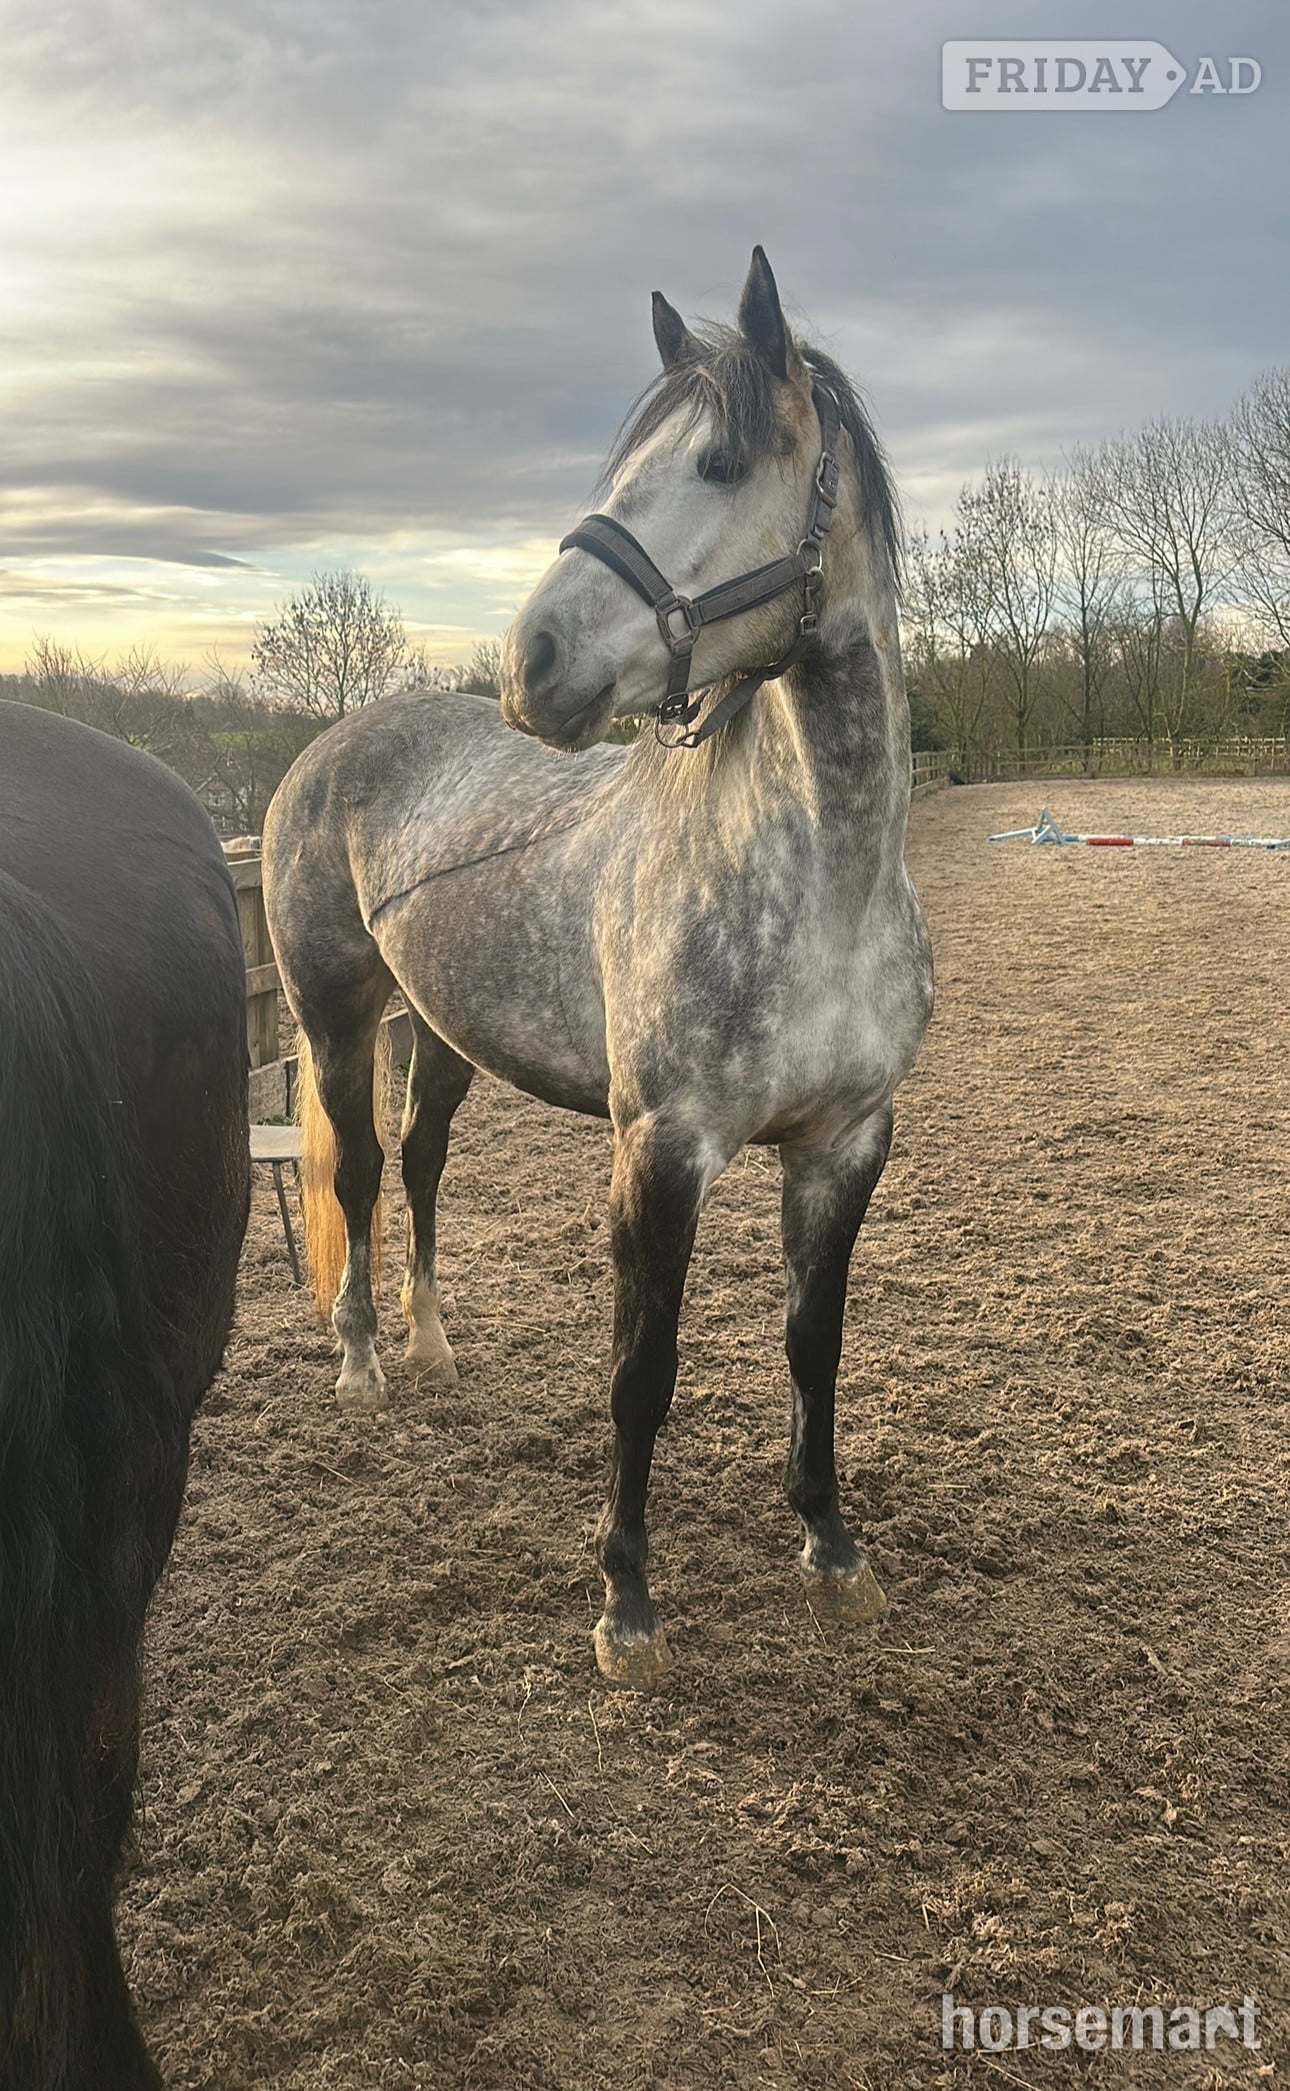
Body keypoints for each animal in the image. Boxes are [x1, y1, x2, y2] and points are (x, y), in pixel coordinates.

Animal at [262, 248, 932, 1689]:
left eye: (722, 462)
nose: (536, 662)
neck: (819, 880)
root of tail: (322, 754)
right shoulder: (661, 1151)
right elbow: (643, 1370)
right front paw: (626, 1603)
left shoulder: (846, 1140)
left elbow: (814, 1345)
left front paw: (831, 1547)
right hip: (337, 1023)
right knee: (358, 1170)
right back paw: (363, 1364)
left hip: (443, 1033)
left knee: (419, 1162)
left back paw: (433, 1343)